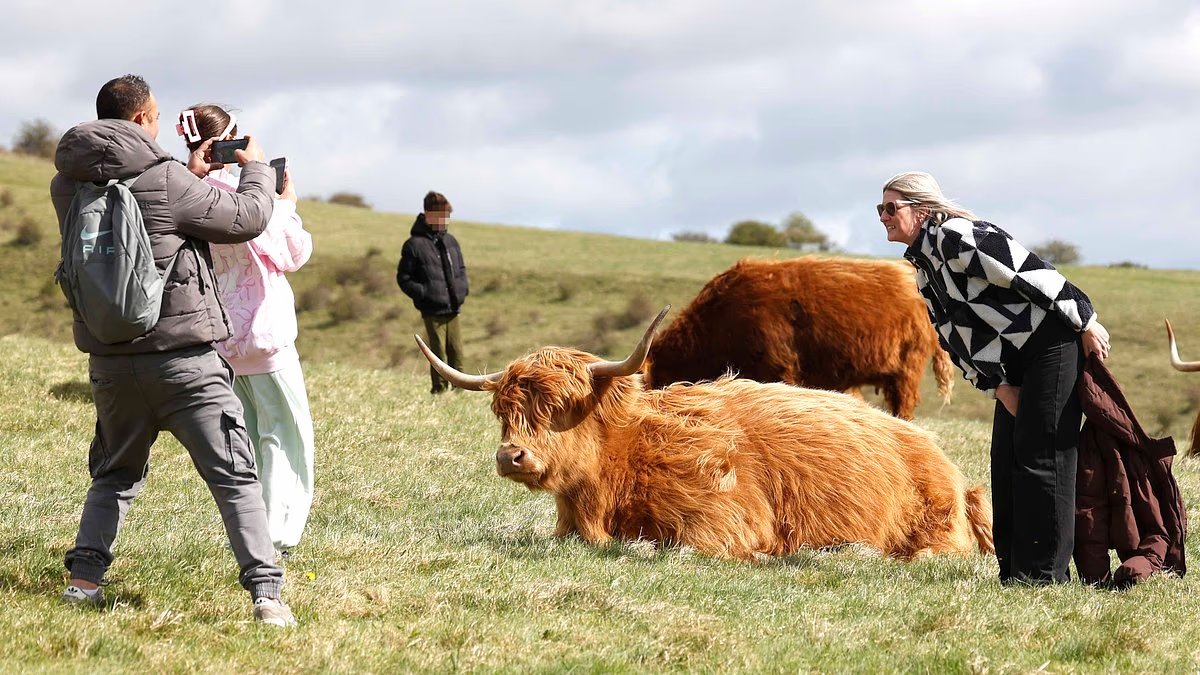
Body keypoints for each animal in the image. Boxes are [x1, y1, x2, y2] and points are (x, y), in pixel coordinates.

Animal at [416, 308, 994, 561]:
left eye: (560, 406)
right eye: (503, 410)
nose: (511, 456)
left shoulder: (723, 519)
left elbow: (662, 547)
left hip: (938, 529)